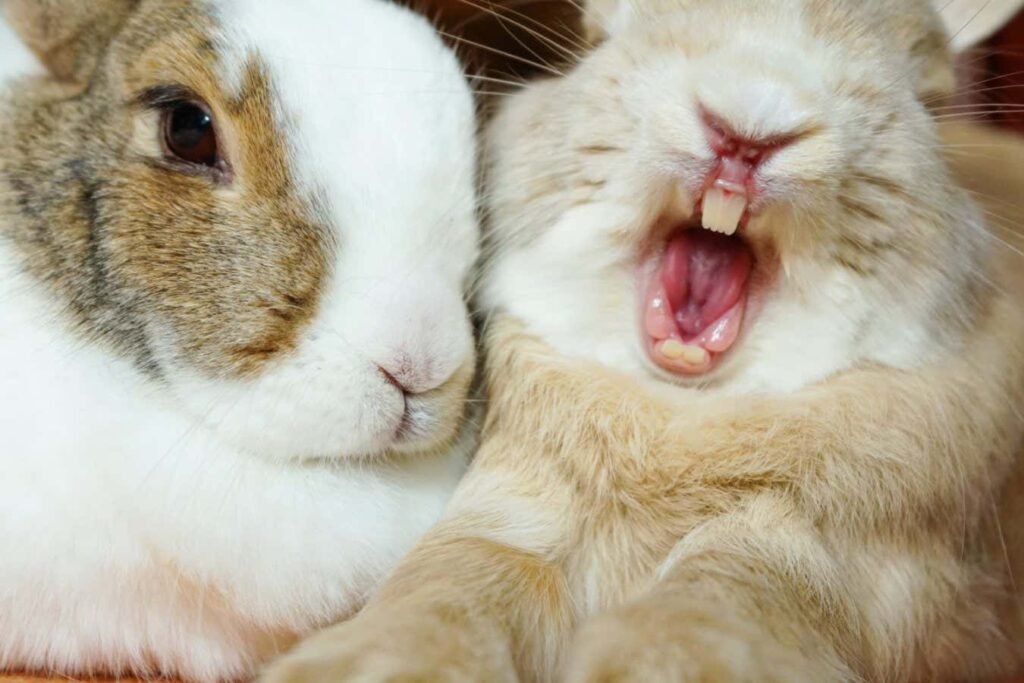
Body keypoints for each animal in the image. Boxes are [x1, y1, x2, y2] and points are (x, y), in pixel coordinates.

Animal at [260, 0, 1024, 682]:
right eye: (600, 38)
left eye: (924, 95)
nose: (748, 126)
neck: (674, 409)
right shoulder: (508, 512)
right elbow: (455, 582)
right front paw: (368, 663)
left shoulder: (818, 557)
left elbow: (717, 602)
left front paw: (654, 663)